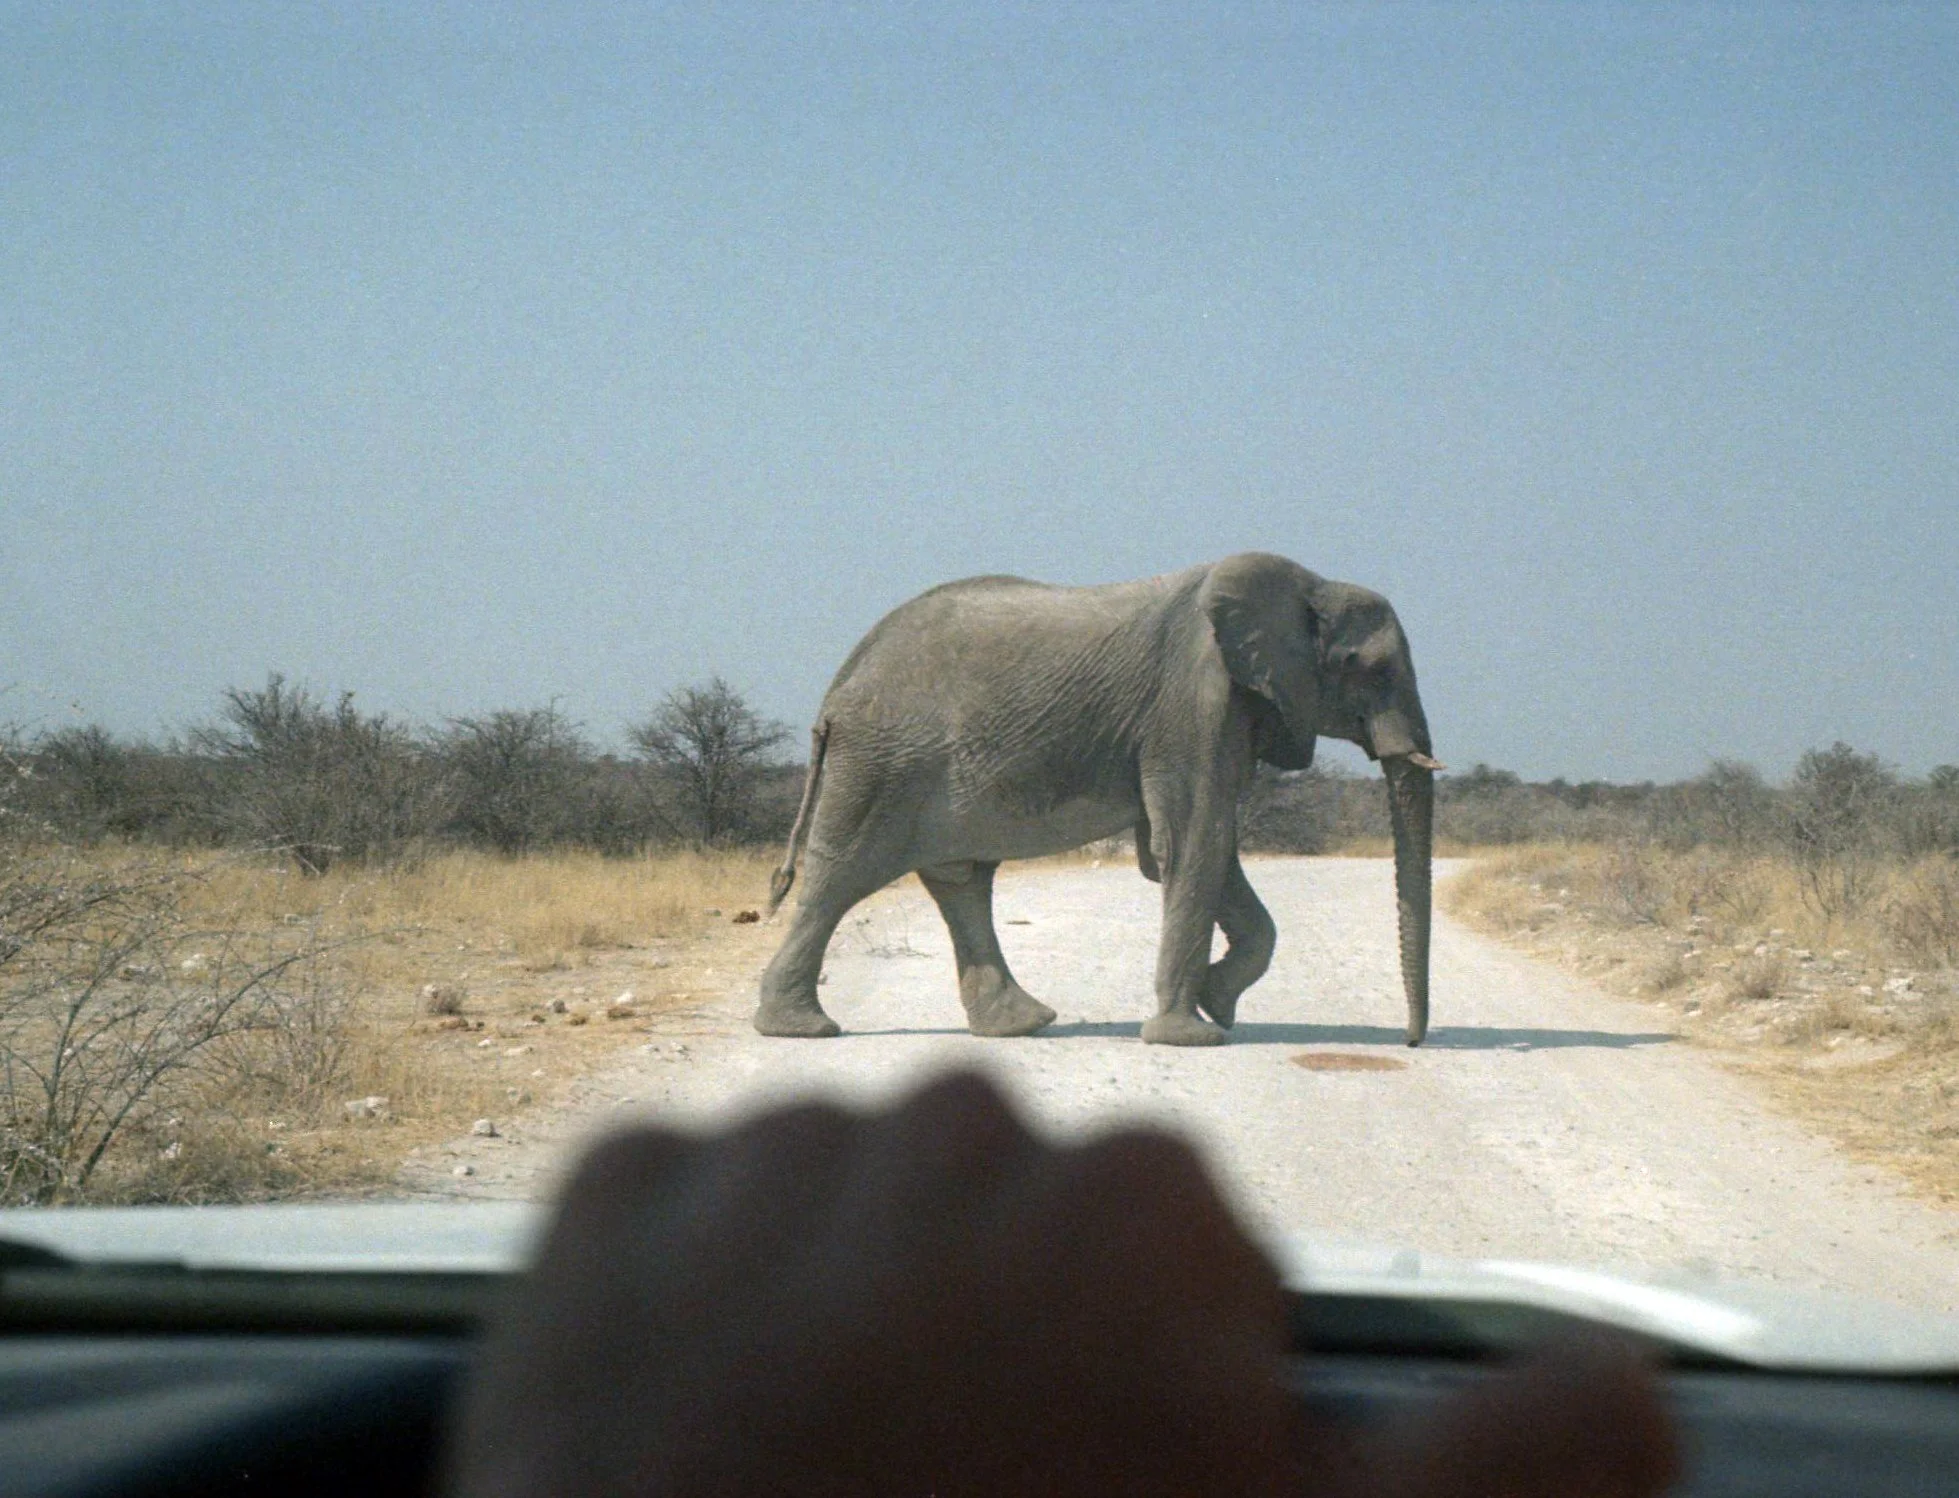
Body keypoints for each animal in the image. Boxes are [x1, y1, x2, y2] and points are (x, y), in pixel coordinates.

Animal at [756, 553, 1442, 1047]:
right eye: (1372, 669)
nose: (1412, 1044)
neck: (1308, 584)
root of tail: (833, 695)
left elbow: (1192, 851)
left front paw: (1217, 1004)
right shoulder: (1192, 703)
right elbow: (1192, 842)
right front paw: (1191, 1036)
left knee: (960, 880)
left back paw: (1022, 1025)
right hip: (881, 764)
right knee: (841, 877)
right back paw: (801, 1030)